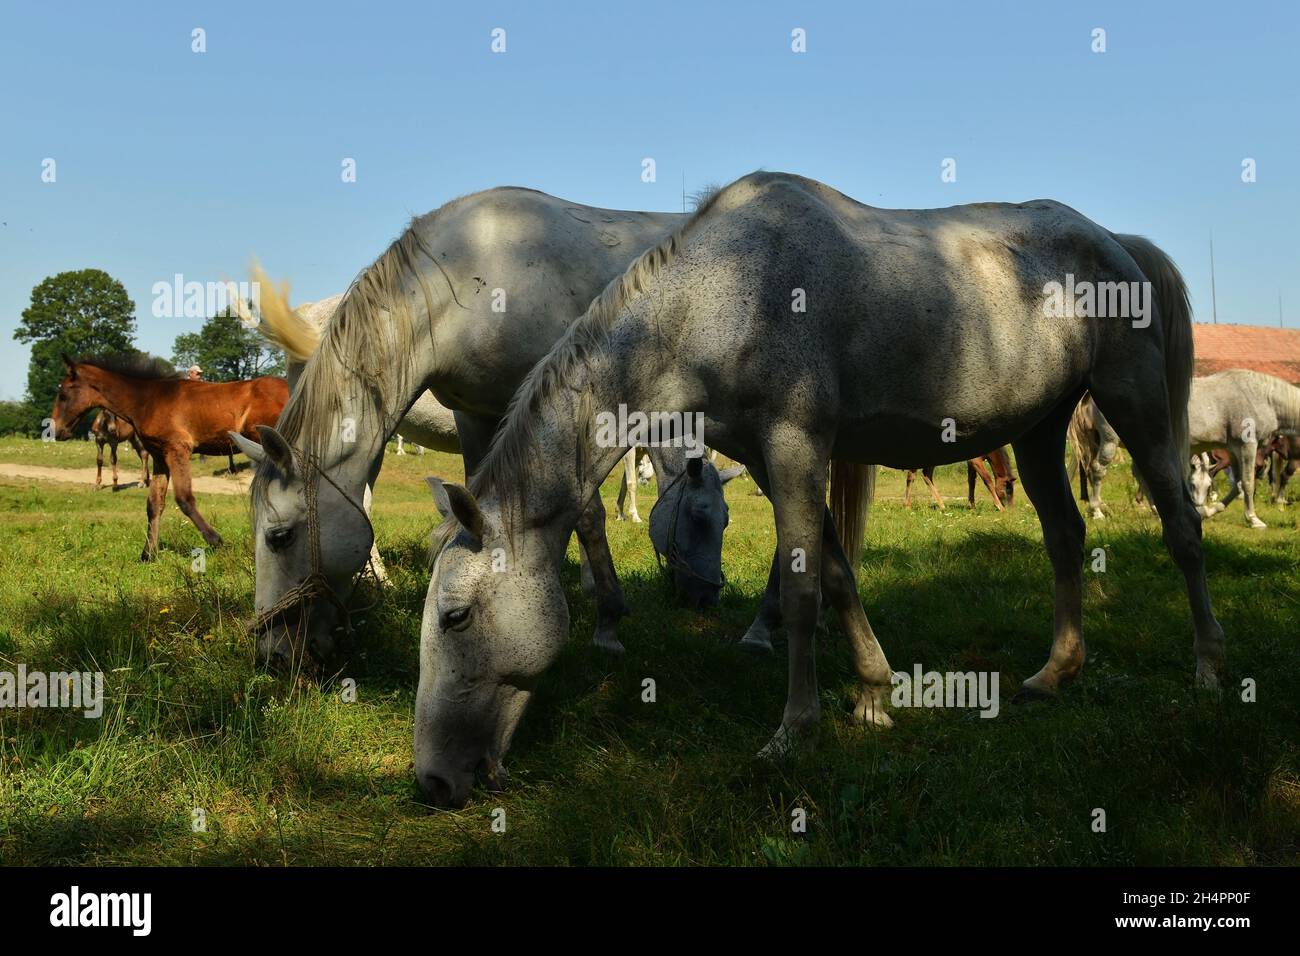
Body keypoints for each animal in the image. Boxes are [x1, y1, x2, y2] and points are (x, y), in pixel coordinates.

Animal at [50, 354, 287, 560]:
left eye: (63, 395)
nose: (57, 431)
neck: (148, 400)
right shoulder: (159, 456)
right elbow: (154, 503)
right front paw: (148, 554)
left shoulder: (177, 449)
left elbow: (184, 498)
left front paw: (216, 541)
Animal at [232, 188, 734, 666]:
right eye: (701, 517)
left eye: (278, 536)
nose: (273, 653)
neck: (474, 276)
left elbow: (579, 510)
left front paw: (600, 615)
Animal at [416, 171, 1224, 808]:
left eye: (456, 617)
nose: (432, 783)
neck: (729, 289)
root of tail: (1117, 241)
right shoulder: (771, 460)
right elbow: (836, 576)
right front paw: (874, 696)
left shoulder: (797, 446)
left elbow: (805, 594)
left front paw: (793, 733)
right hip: (1039, 432)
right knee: (1065, 538)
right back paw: (1054, 674)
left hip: (1135, 403)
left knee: (1183, 531)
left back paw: (1209, 672)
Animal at [1188, 369, 1300, 528]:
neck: (1263, 398)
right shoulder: (1247, 446)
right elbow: (1248, 483)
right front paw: (1253, 519)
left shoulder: (1233, 450)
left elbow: (1237, 485)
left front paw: (1207, 512)